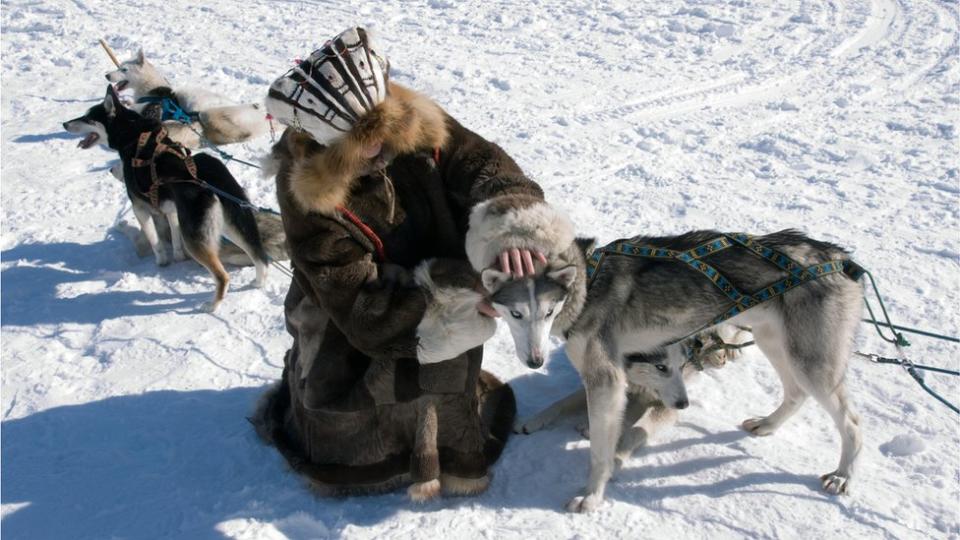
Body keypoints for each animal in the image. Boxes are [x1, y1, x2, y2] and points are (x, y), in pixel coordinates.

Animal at [64, 85, 268, 312]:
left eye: (88, 118)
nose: (64, 124)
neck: (135, 137)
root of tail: (206, 179)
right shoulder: (171, 208)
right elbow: (174, 235)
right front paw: (177, 256)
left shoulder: (139, 208)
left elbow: (154, 240)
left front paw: (161, 262)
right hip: (233, 224)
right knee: (259, 257)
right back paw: (258, 282)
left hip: (196, 238)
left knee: (222, 276)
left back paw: (211, 305)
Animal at [484, 230, 868, 512]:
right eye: (516, 314)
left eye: (548, 312)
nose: (536, 361)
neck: (588, 283)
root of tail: (840, 258)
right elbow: (563, 403)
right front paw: (535, 421)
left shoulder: (607, 381)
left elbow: (602, 453)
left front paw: (592, 496)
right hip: (774, 343)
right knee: (796, 393)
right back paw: (767, 424)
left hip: (811, 362)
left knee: (851, 422)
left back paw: (843, 475)